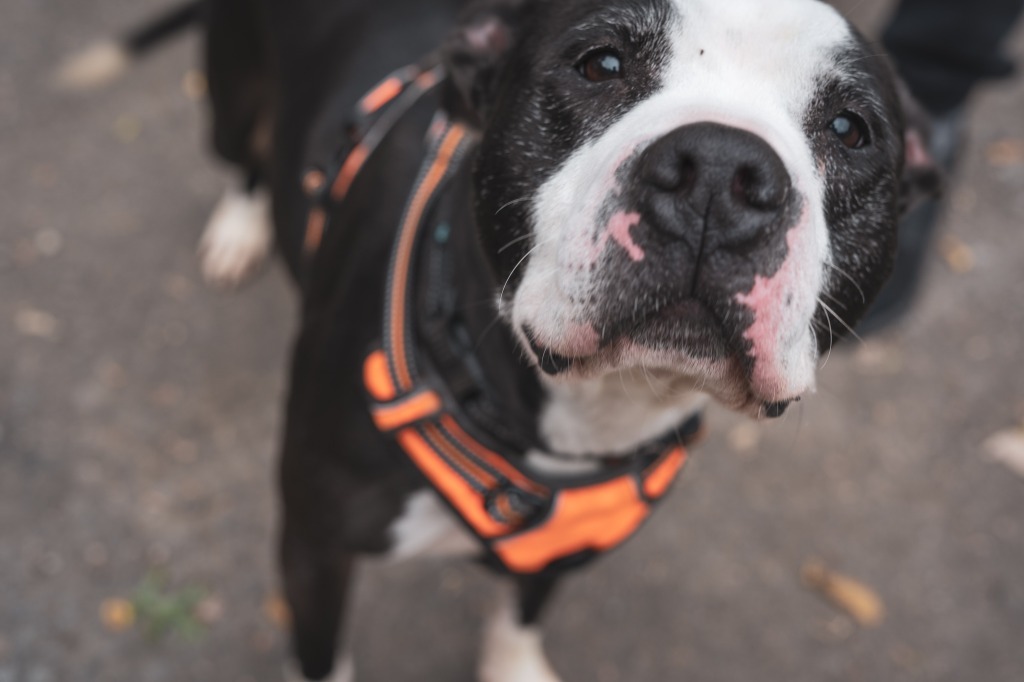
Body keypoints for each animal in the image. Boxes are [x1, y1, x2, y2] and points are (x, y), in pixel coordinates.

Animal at [59, 0, 937, 675]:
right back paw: (241, 229)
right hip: (232, 92)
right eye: (601, 64)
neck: (567, 420)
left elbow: (522, 611)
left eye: (850, 129)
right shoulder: (312, 549)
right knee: (244, 156)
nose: (721, 172)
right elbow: (322, 655)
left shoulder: (570, 540)